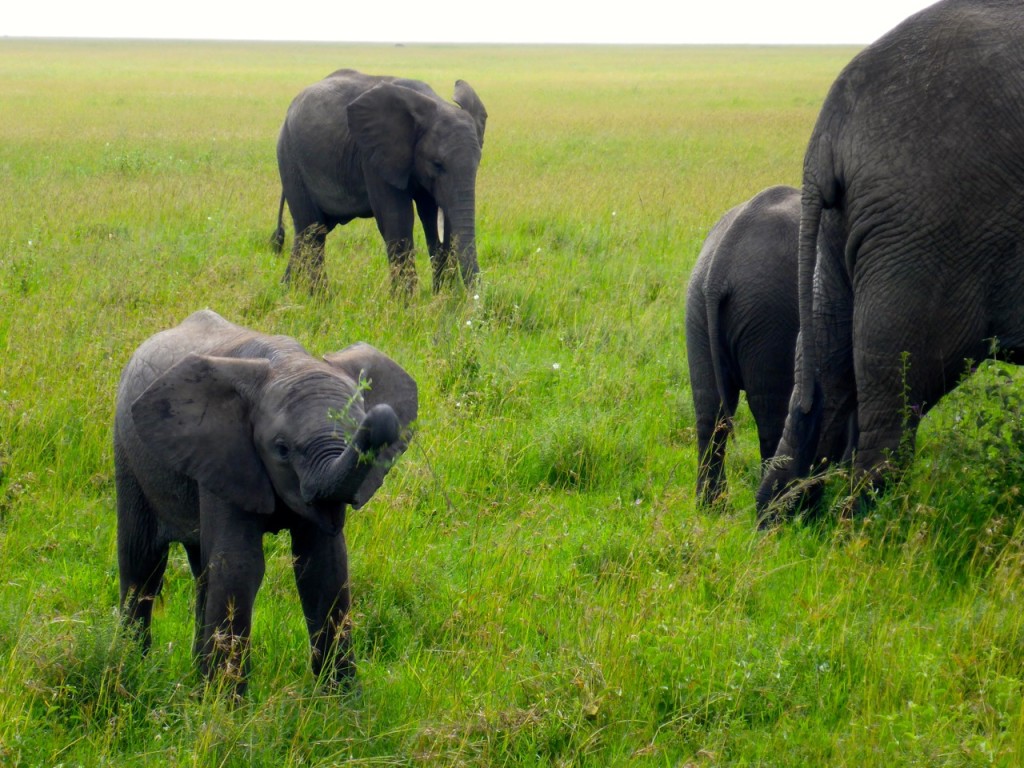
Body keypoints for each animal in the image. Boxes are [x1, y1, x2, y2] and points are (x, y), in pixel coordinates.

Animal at [113, 309, 415, 696]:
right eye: (281, 449)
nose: (379, 416)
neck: (285, 360)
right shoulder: (226, 452)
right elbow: (239, 565)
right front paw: (225, 706)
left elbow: (324, 566)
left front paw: (342, 702)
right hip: (128, 453)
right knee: (142, 563)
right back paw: (130, 669)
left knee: (202, 571)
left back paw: (194, 679)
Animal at [272, 69, 487, 292]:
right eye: (437, 164)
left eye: (478, 163)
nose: (476, 297)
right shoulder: (372, 156)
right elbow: (397, 219)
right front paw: (406, 301)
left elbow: (435, 221)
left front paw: (443, 298)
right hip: (290, 160)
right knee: (311, 230)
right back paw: (316, 296)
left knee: (313, 230)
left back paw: (290, 290)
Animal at [757, 0, 1024, 524]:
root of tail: (829, 131)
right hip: (927, 226)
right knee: (898, 378)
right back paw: (866, 529)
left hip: (847, 228)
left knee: (824, 360)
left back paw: (779, 523)